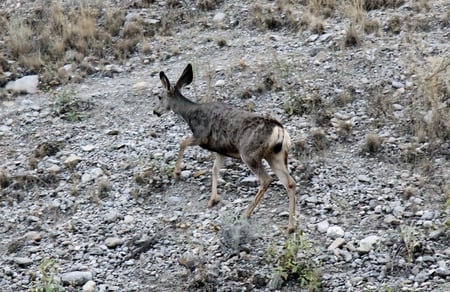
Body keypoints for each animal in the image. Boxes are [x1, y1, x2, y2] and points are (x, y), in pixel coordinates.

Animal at [153, 64, 298, 233]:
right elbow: (215, 170)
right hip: (276, 155)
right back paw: (291, 226)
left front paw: (176, 172)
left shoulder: (201, 135)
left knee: (266, 179)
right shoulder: (220, 150)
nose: (155, 111)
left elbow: (182, 143)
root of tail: (279, 130)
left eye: (159, 97)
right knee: (290, 183)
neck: (189, 114)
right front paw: (212, 199)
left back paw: (246, 214)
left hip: (249, 153)